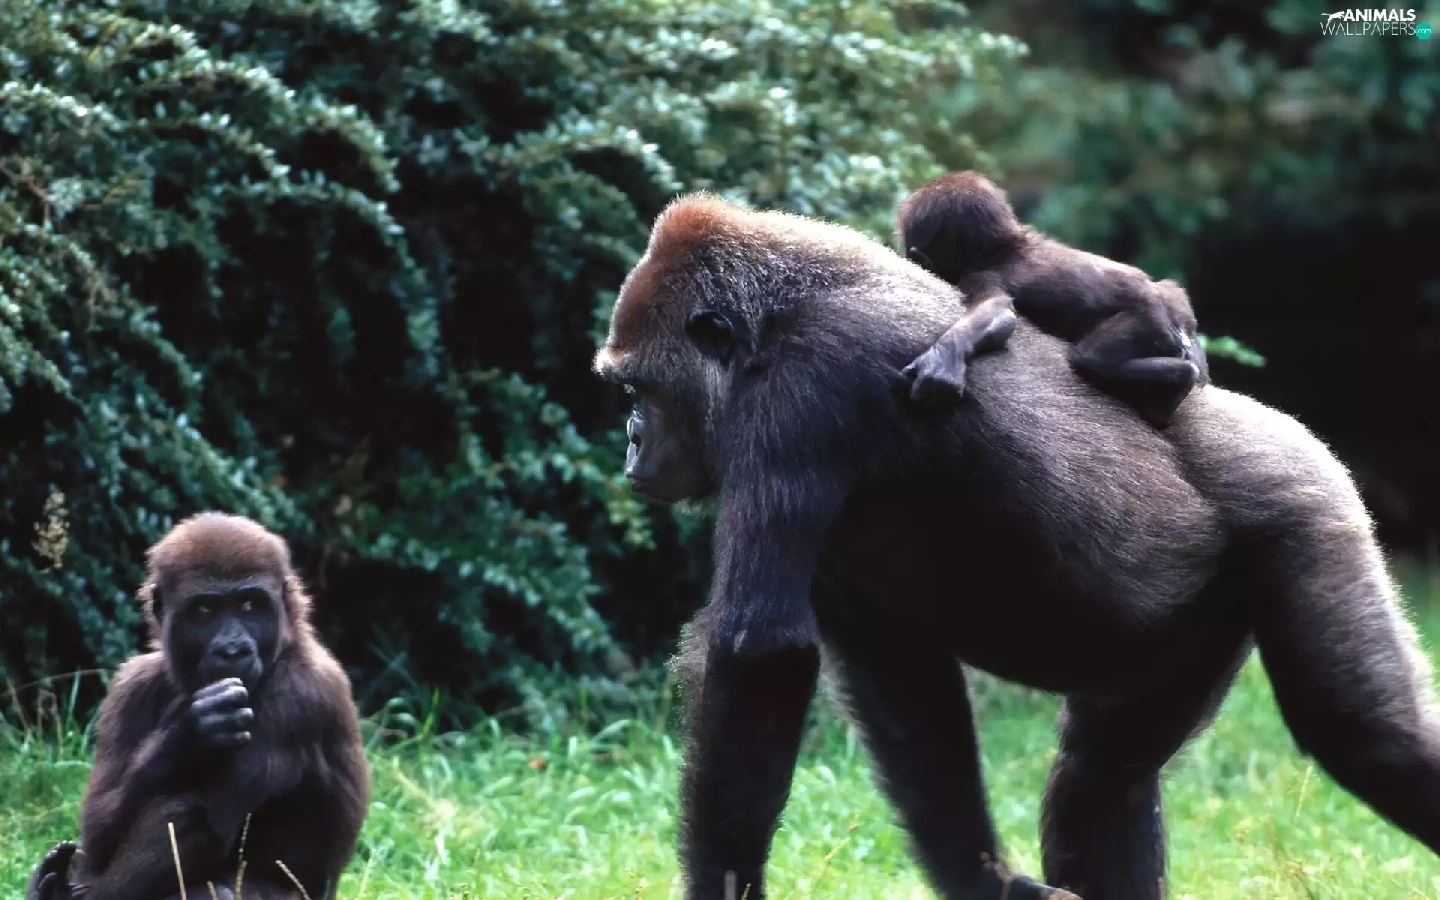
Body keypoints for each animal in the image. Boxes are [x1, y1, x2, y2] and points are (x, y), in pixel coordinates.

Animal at [27, 513, 369, 900]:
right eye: (205, 610)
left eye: (250, 606)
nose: (233, 650)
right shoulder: (130, 686)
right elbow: (100, 828)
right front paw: (186, 734)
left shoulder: (300, 692)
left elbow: (207, 820)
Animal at [896, 171, 1208, 428]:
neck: (1005, 247)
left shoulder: (980, 277)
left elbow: (997, 313)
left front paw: (943, 359)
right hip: (1172, 305)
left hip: (1147, 321)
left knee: (1089, 359)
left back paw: (1178, 383)